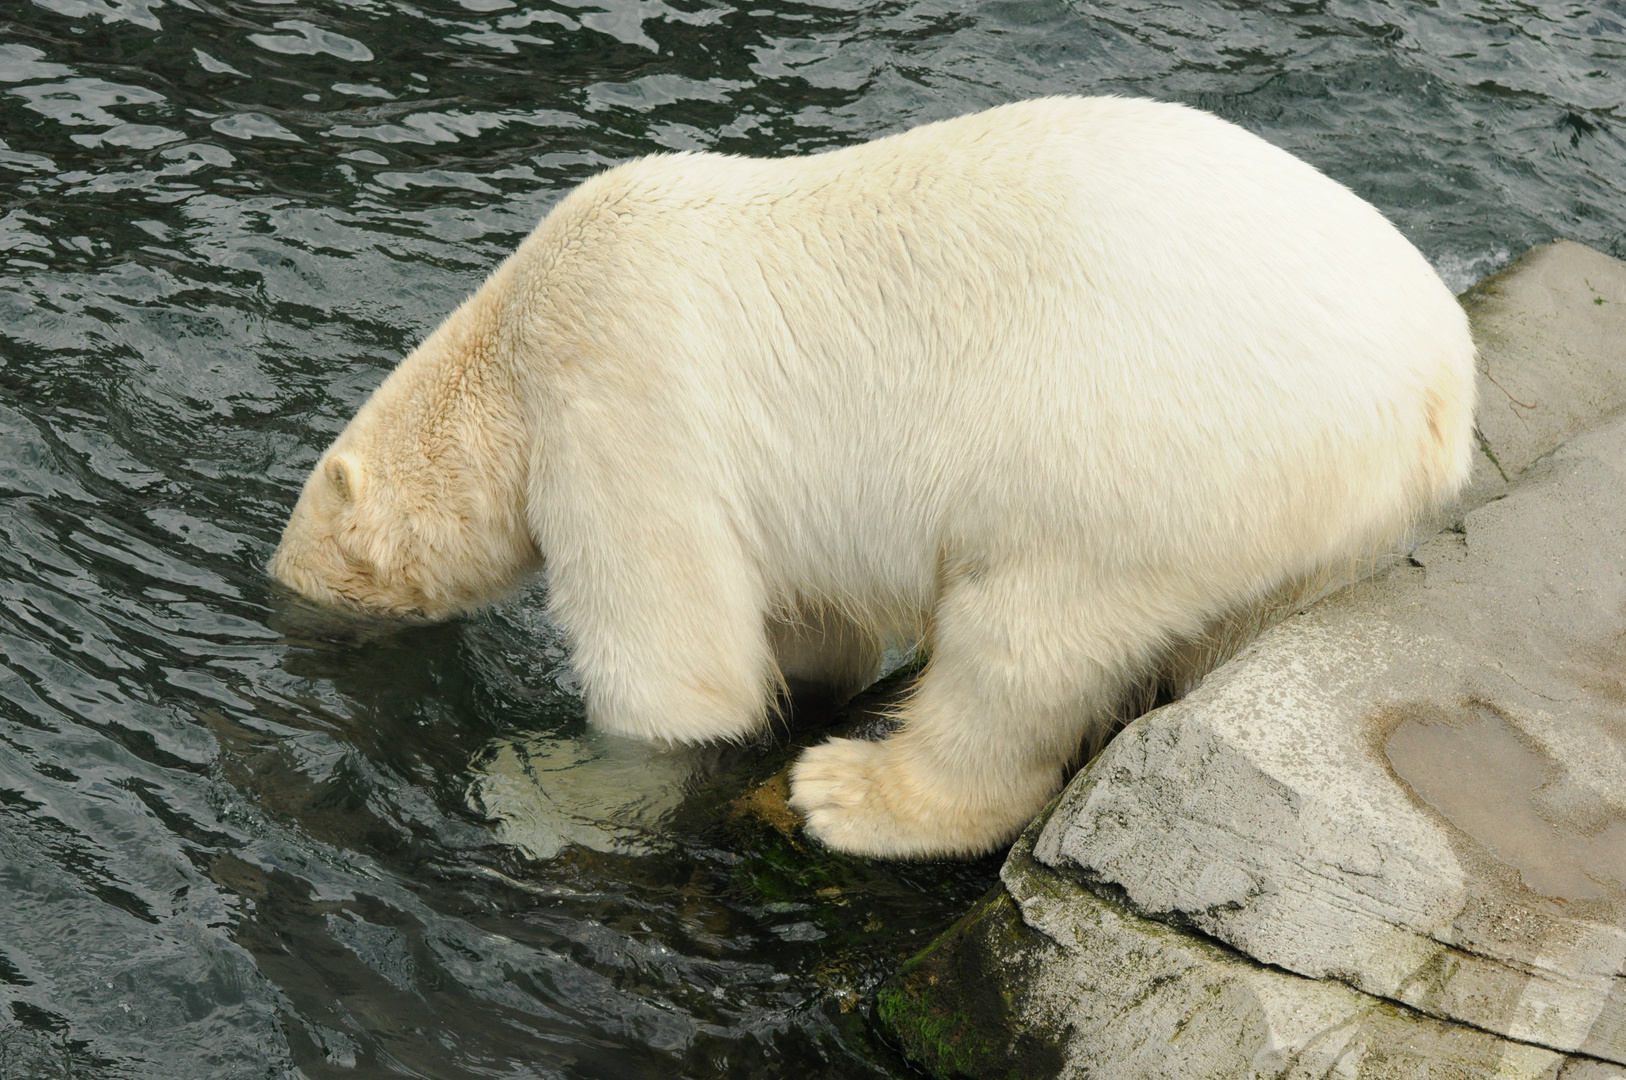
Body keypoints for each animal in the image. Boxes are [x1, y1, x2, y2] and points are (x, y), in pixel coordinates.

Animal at [273, 99, 1482, 858]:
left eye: (310, 587)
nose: (292, 634)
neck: (510, 352)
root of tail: (1441, 385)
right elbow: (810, 623)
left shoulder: (622, 397)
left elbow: (676, 676)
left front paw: (544, 787)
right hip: (1307, 517)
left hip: (1144, 450)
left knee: (1026, 637)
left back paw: (857, 793)